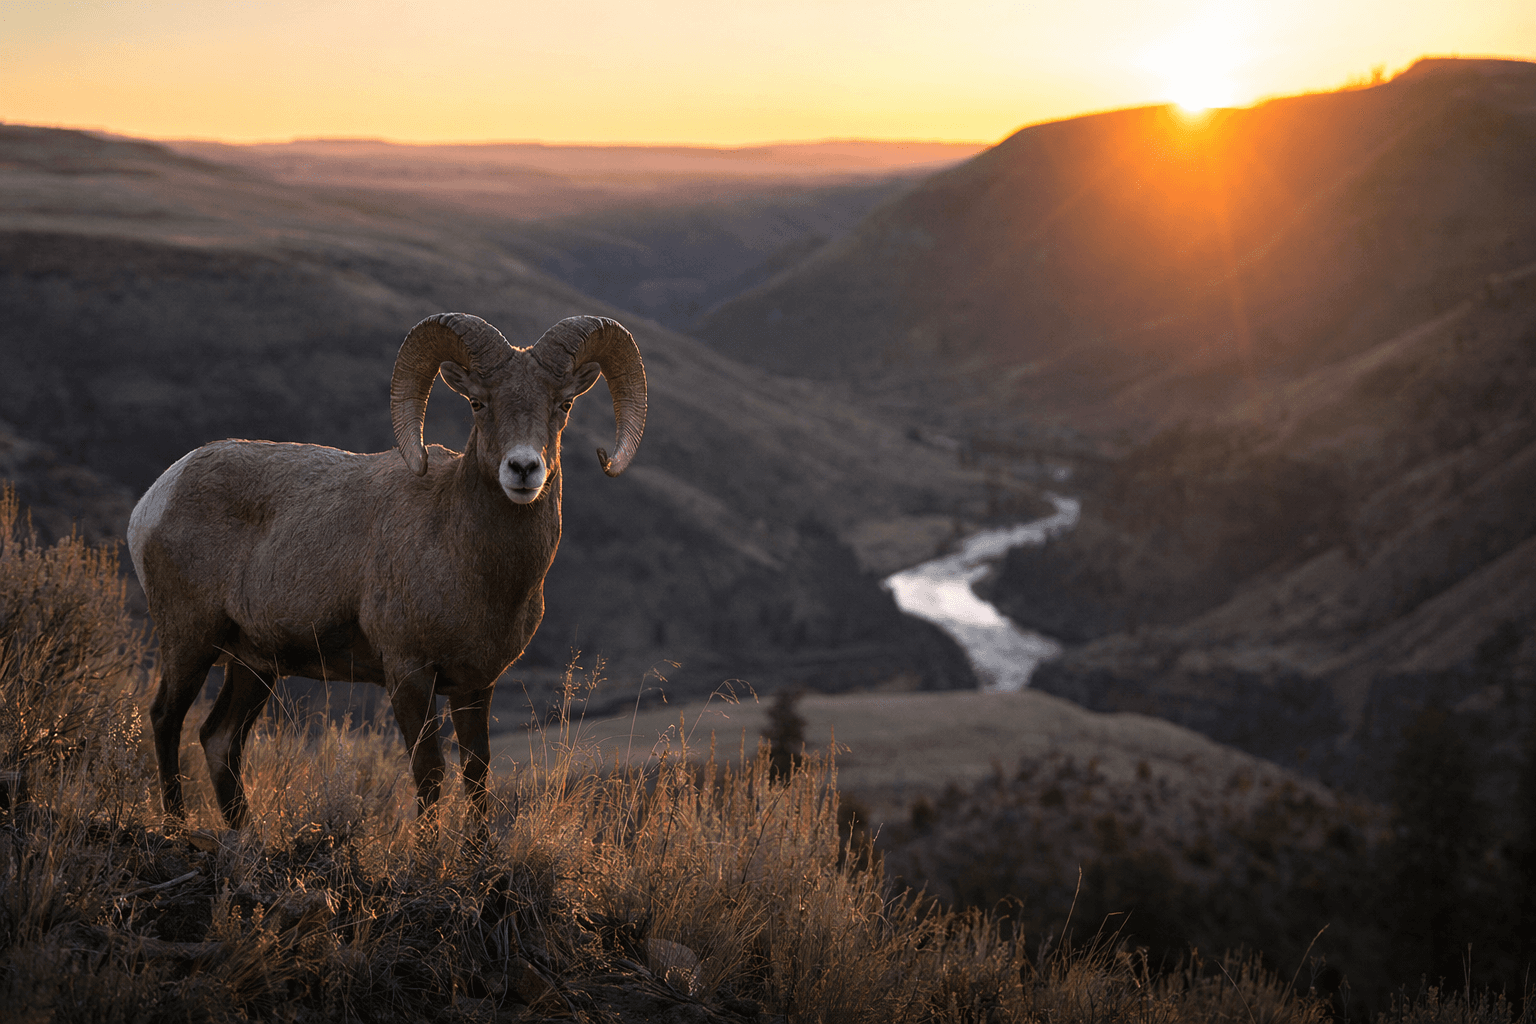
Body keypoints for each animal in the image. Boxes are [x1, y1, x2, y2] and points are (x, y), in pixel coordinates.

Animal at [126, 312, 646, 827]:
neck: (471, 566)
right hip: (190, 640)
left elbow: (477, 773)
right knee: (166, 718)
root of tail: (157, 496)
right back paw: (176, 828)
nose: (523, 469)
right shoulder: (409, 674)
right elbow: (429, 771)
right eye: (479, 403)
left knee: (219, 739)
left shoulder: (476, 683)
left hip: (253, 664)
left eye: (563, 404)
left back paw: (244, 839)